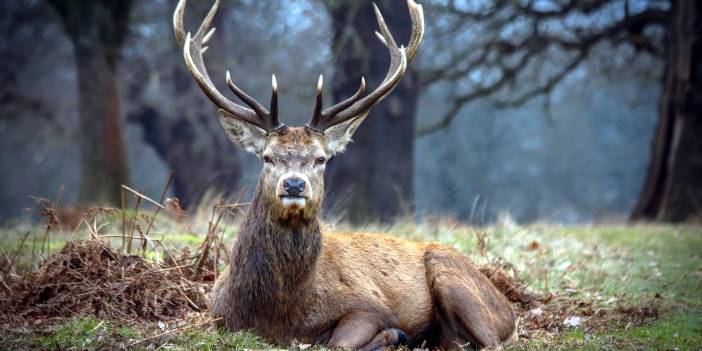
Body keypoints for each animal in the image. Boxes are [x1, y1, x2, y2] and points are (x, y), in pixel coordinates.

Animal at [175, 1, 516, 350]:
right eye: (267, 157)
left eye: (321, 158)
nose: (294, 184)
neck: (282, 315)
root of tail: (509, 309)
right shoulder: (220, 317)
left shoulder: (369, 305)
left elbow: (340, 341)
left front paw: (390, 335)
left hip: (452, 276)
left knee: (492, 342)